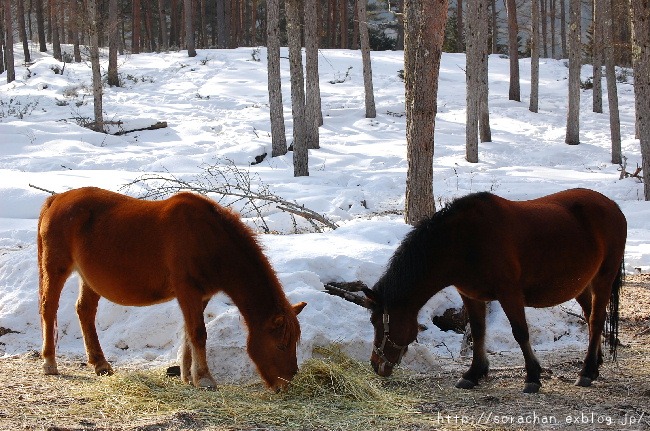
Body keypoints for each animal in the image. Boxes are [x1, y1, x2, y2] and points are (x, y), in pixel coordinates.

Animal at [38, 186, 306, 392]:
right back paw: (49, 363)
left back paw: (100, 364)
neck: (208, 238)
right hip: (56, 268)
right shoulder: (187, 291)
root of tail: (56, 199)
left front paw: (188, 376)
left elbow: (188, 333)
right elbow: (198, 333)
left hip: (89, 278)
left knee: (85, 311)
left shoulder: (202, 295)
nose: (286, 384)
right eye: (280, 345)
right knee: (48, 308)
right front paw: (205, 379)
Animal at [326, 189, 624, 394]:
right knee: (591, 319)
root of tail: (613, 206)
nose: (376, 364)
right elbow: (478, 332)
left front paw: (532, 377)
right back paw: (595, 363)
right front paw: (473, 373)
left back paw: (587, 371)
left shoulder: (509, 294)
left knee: (597, 319)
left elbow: (520, 333)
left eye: (379, 323)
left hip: (603, 279)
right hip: (582, 284)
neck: (464, 242)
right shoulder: (470, 295)